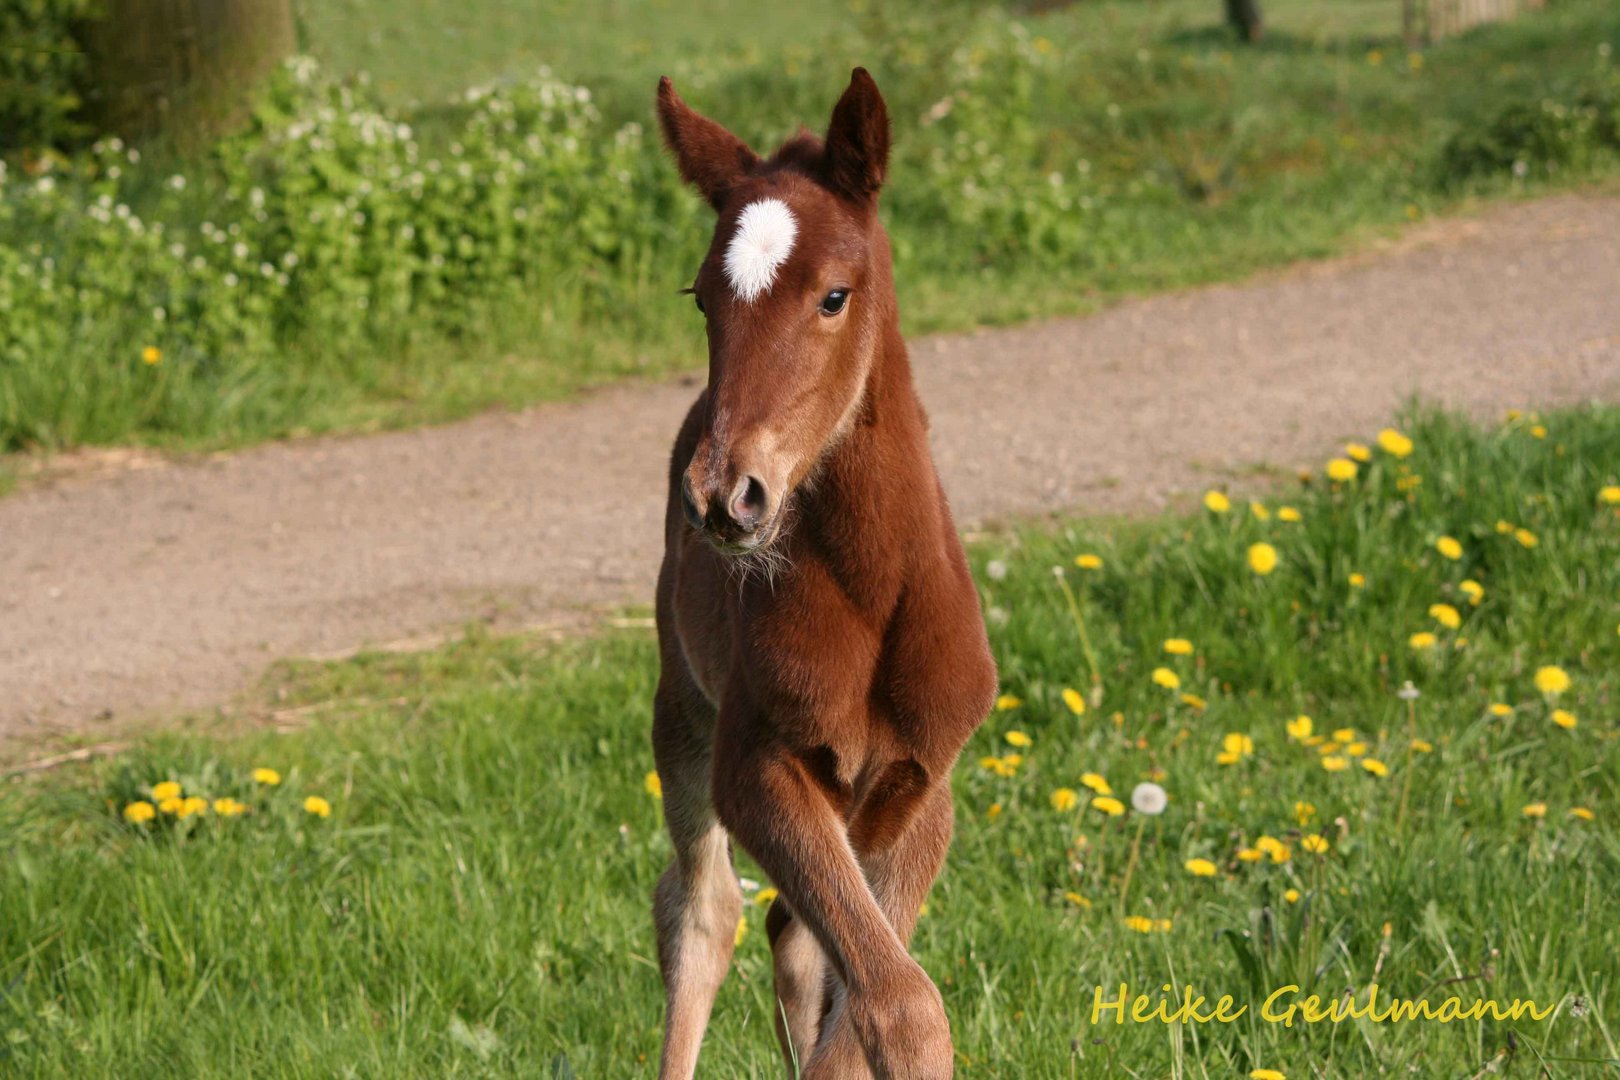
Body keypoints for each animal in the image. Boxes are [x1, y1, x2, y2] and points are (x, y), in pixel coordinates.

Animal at [651, 71, 991, 1075]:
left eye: (834, 296)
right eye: (701, 300)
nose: (724, 494)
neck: (875, 595)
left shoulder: (922, 788)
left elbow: (863, 1008)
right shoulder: (758, 767)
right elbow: (898, 1004)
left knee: (792, 941)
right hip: (681, 705)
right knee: (700, 913)